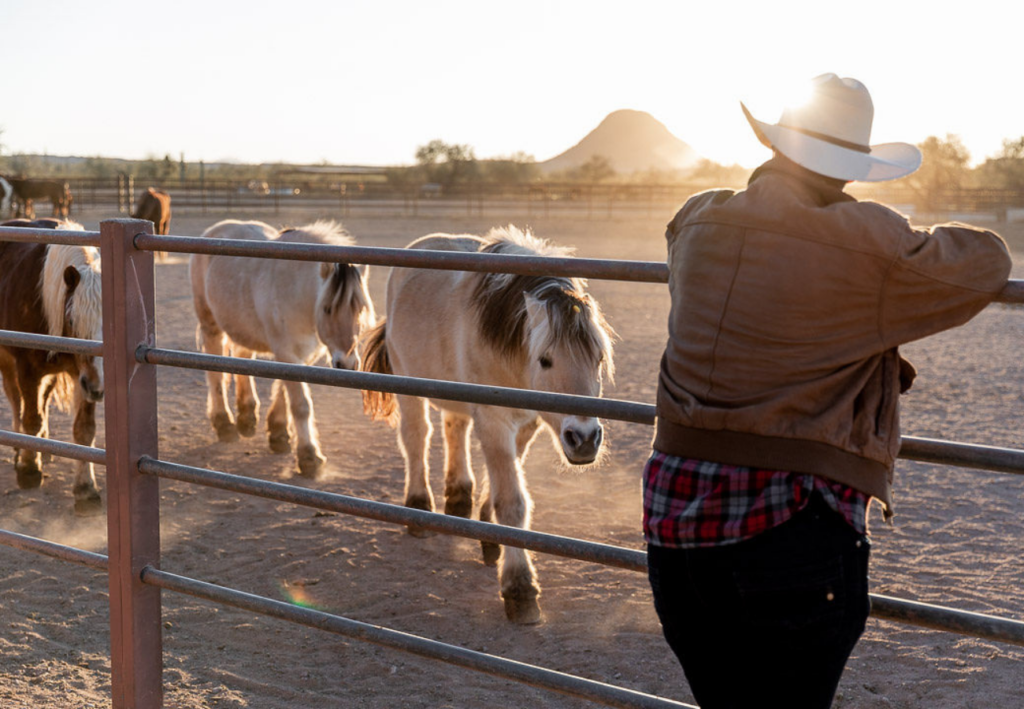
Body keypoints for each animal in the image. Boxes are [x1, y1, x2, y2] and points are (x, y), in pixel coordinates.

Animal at [0, 217, 104, 514]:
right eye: (71, 319)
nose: (98, 388)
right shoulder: (27, 369)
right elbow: (30, 418)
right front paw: (28, 469)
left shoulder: (82, 375)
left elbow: (84, 429)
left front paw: (85, 488)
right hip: (7, 361)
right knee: (16, 401)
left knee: (42, 402)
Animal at [189, 219, 376, 479]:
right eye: (328, 308)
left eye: (359, 309)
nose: (347, 364)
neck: (296, 290)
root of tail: (216, 229)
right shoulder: (287, 352)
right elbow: (300, 404)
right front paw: (309, 458)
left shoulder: (304, 355)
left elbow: (284, 393)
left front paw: (278, 434)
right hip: (210, 325)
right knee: (215, 374)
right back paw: (224, 424)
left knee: (243, 359)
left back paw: (246, 417)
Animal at [362, 224, 614, 622]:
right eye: (545, 360)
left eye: (599, 358)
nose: (586, 438)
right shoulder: (496, 422)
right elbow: (512, 501)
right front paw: (520, 589)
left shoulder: (526, 424)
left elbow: (504, 483)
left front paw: (488, 529)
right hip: (407, 382)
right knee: (417, 438)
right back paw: (419, 508)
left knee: (455, 429)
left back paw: (458, 498)